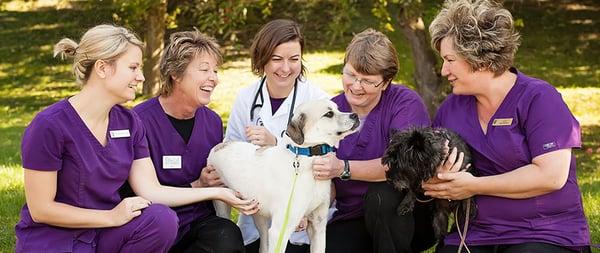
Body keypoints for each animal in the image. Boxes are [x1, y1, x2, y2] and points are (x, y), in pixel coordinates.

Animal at [209, 100, 358, 253]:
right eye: (329, 114)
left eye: (337, 109)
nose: (355, 115)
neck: (308, 159)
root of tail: (221, 144)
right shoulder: (280, 230)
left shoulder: (318, 226)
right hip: (222, 204)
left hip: (259, 215)